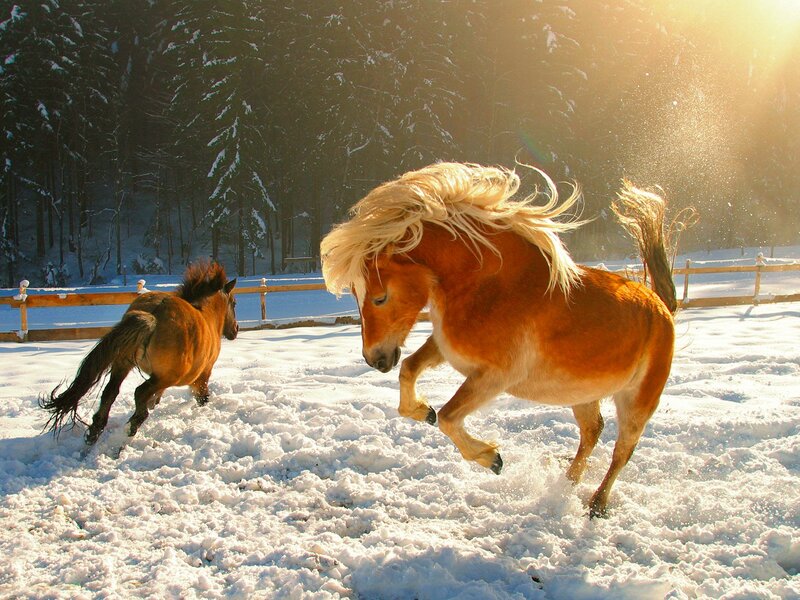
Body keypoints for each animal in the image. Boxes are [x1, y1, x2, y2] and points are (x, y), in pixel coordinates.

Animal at [41, 261, 239, 446]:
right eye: (234, 303)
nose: (235, 330)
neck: (207, 316)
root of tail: (153, 315)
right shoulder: (202, 376)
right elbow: (201, 397)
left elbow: (155, 398)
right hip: (166, 377)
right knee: (139, 393)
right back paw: (127, 432)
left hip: (123, 364)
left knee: (110, 392)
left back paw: (94, 434)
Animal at [321, 162, 676, 518]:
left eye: (379, 298)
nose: (374, 359)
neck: (491, 286)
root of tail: (661, 307)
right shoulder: (447, 347)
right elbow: (409, 370)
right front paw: (424, 411)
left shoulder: (496, 376)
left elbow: (449, 417)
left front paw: (492, 458)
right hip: (584, 394)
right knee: (592, 432)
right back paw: (567, 483)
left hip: (636, 401)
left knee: (622, 451)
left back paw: (597, 505)